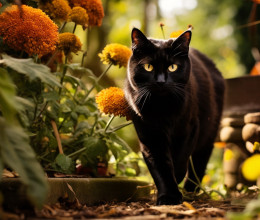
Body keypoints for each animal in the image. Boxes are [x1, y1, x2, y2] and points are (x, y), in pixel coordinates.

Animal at [125, 27, 224, 205]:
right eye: (148, 67)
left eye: (172, 67)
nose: (161, 81)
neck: (162, 108)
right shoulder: (150, 137)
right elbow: (161, 166)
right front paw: (168, 196)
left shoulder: (189, 130)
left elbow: (179, 160)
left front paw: (176, 182)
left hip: (208, 136)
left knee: (198, 164)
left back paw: (191, 191)